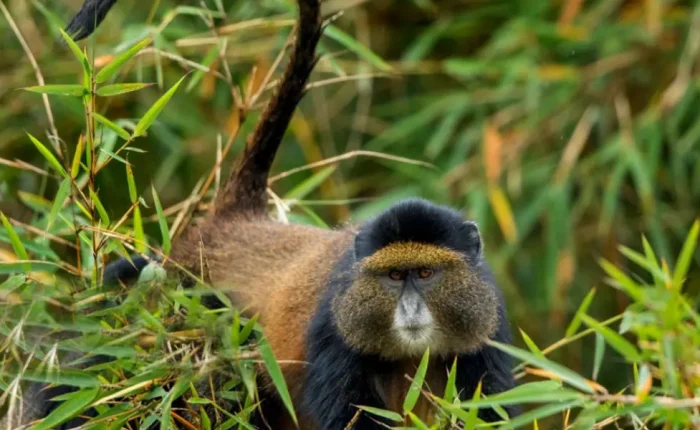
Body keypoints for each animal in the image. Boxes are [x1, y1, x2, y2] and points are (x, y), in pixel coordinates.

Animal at [1, 0, 520, 428]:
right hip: (183, 301)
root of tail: (237, 221)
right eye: (394, 277)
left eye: (426, 273)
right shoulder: (333, 333)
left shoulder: (487, 327)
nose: (410, 308)